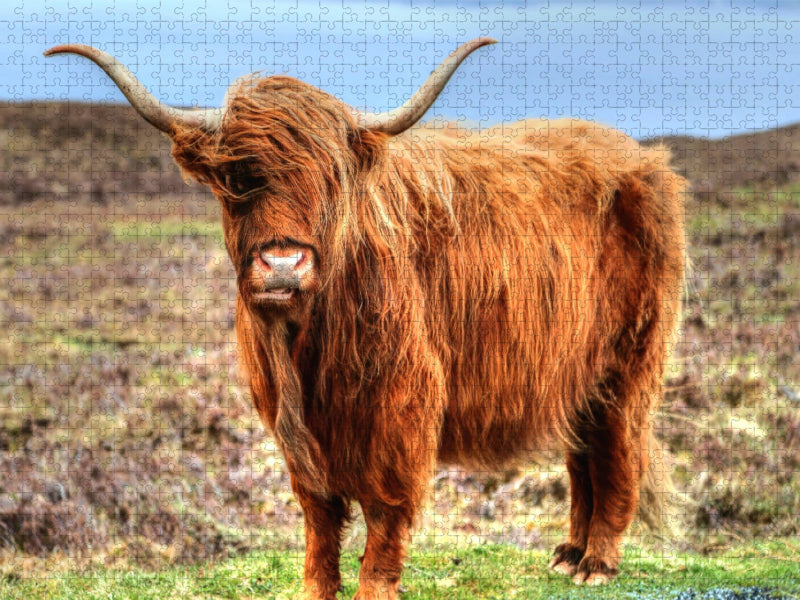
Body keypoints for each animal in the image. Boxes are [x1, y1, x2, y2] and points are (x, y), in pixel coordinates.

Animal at [44, 38, 686, 599]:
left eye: (331, 180)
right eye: (237, 180)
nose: (283, 264)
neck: (306, 347)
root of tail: (642, 159)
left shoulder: (401, 408)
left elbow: (385, 511)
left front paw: (374, 588)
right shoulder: (294, 429)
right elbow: (319, 516)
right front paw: (315, 588)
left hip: (629, 363)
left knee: (618, 450)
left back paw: (597, 562)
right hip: (577, 374)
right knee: (584, 455)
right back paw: (569, 553)